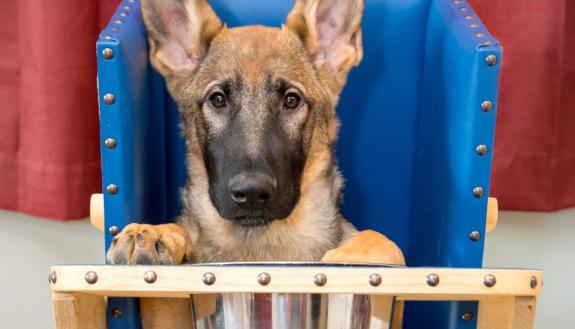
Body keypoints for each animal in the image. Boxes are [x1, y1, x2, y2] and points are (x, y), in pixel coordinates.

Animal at [107, 0, 404, 326]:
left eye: (291, 100)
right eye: (218, 99)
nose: (250, 193)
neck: (261, 243)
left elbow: (384, 242)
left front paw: (353, 259)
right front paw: (156, 232)